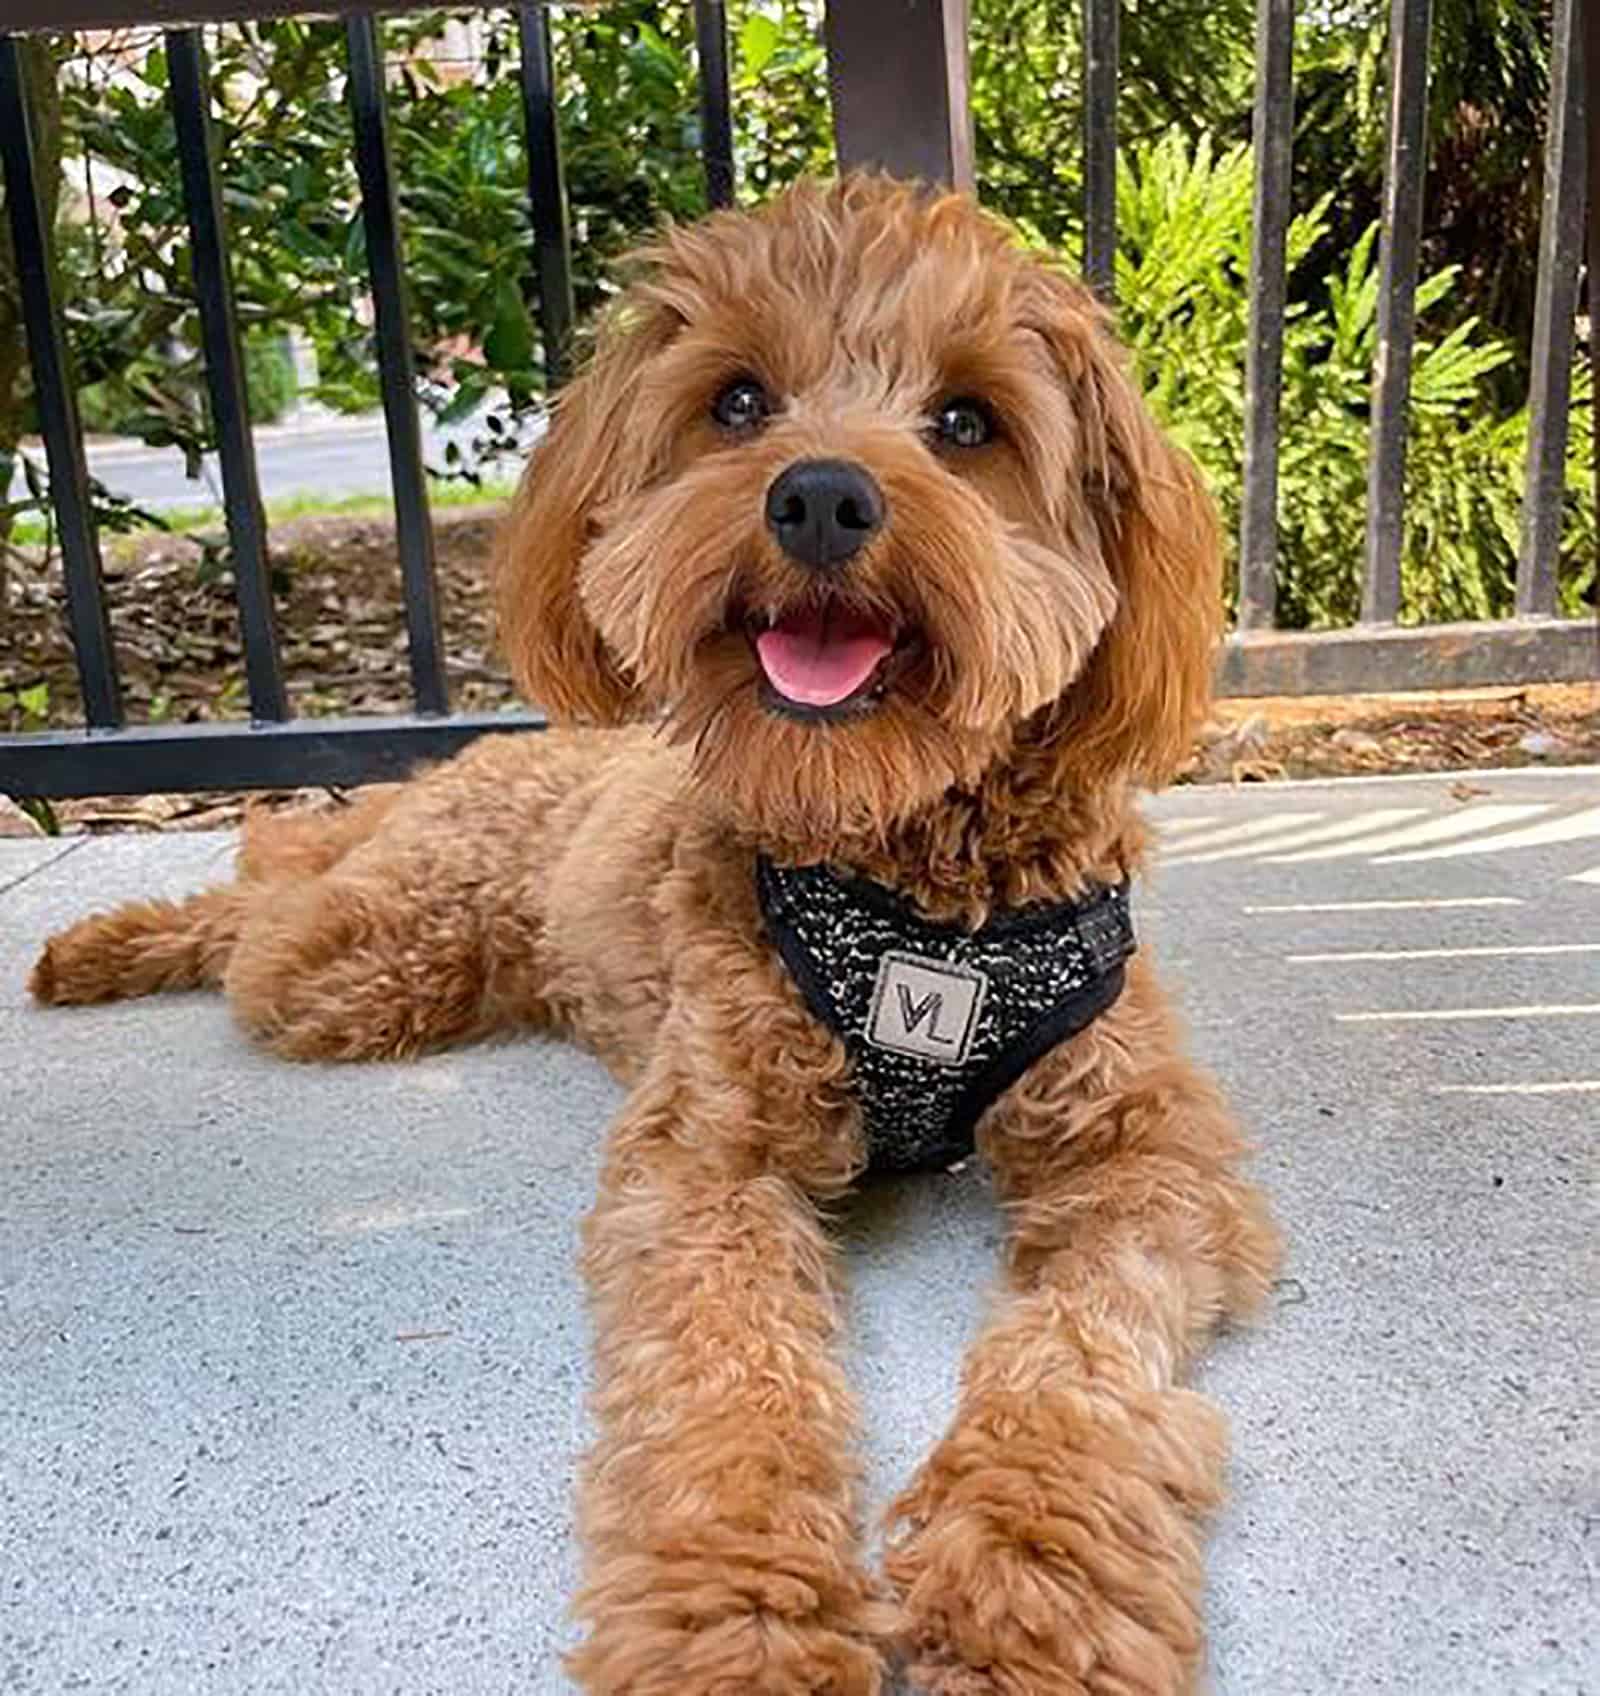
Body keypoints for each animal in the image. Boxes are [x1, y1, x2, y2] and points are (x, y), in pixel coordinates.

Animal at [31, 178, 1282, 1696]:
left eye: (968, 420)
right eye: (738, 401)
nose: (820, 495)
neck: (901, 878)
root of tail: (494, 756)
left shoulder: (1144, 1159)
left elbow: (1079, 1354)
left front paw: (1029, 1580)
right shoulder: (707, 1157)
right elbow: (726, 1374)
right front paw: (738, 1617)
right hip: (372, 959)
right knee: (272, 896)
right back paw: (113, 938)